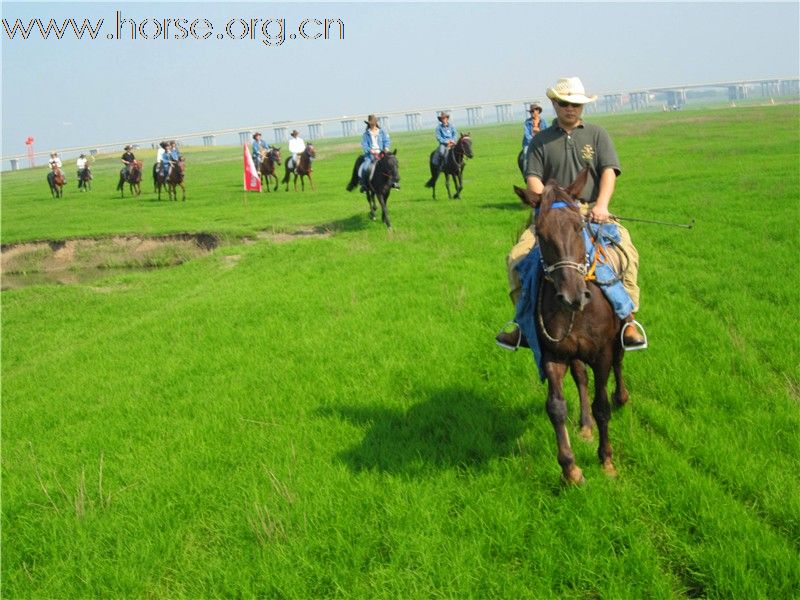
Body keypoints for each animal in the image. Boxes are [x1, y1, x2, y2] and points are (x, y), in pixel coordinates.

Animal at [512, 166, 632, 486]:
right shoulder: (552, 354)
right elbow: (556, 408)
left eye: (579, 227)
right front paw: (570, 469)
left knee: (619, 362)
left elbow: (602, 406)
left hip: (617, 338)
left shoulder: (602, 353)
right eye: (541, 233)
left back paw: (622, 397)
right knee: (580, 378)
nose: (572, 297)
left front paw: (607, 461)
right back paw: (585, 426)